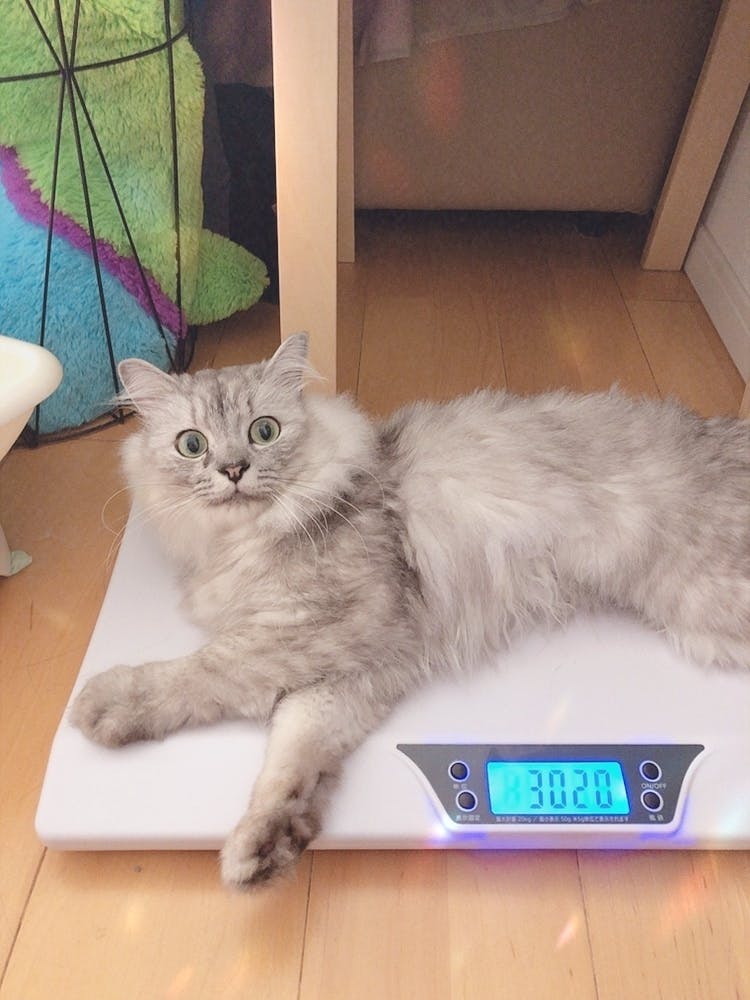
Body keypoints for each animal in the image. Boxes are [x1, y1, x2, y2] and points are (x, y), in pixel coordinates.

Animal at [71, 333, 750, 888]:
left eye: (264, 431)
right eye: (192, 445)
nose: (233, 469)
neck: (245, 540)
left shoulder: (333, 623)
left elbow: (208, 670)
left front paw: (105, 702)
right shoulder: (361, 666)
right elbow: (293, 756)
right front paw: (267, 847)